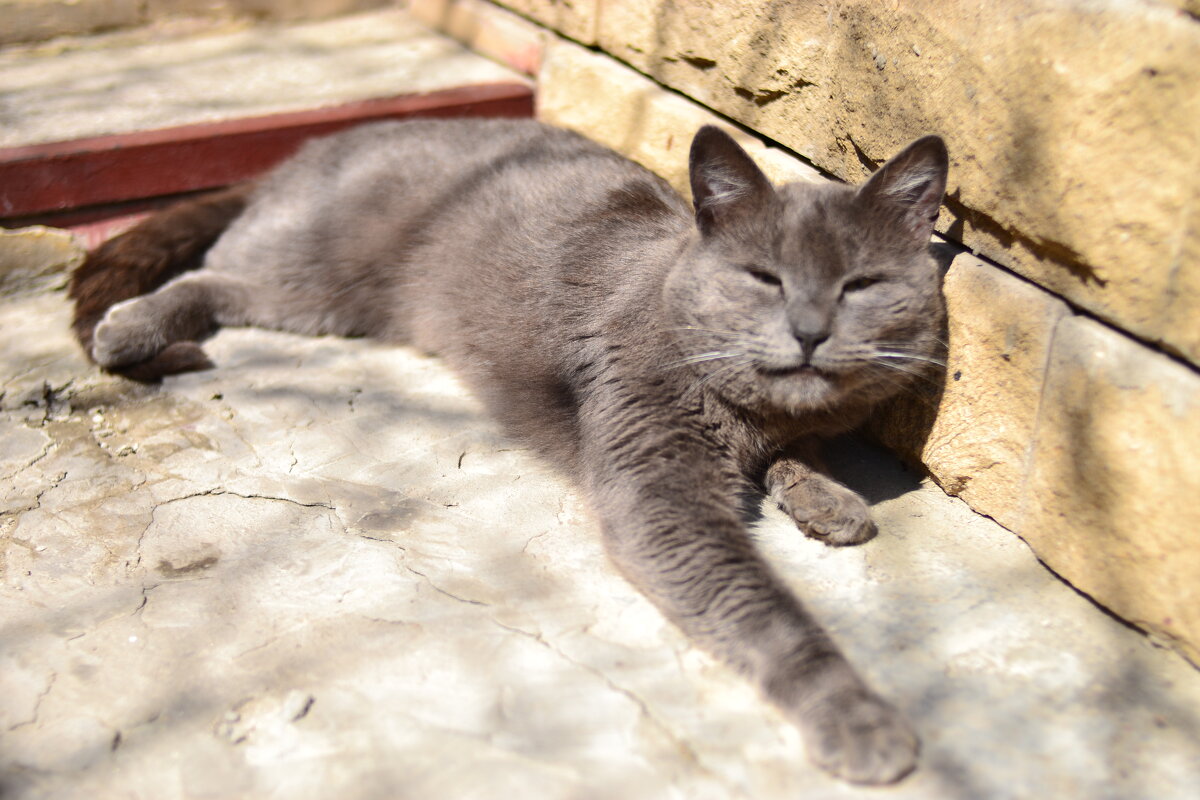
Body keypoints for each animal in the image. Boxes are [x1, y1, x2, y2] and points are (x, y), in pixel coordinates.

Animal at [68, 117, 945, 782]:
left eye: (861, 285)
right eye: (763, 277)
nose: (809, 330)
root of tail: (303, 154)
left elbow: (807, 444)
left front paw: (830, 498)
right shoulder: (659, 491)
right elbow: (766, 611)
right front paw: (859, 719)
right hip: (314, 272)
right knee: (212, 277)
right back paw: (130, 330)